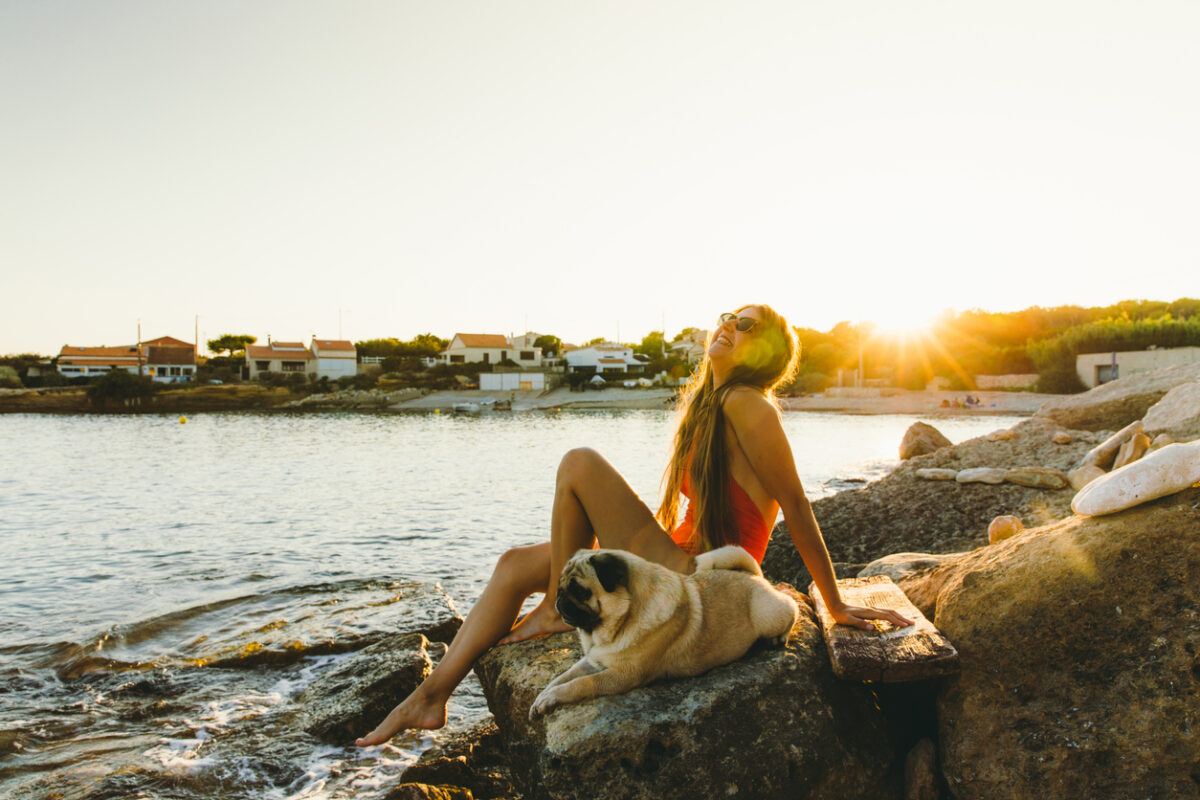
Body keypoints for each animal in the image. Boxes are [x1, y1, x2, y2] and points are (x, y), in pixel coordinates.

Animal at [532, 546, 796, 714]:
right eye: (560, 586)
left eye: (580, 591)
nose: (559, 599)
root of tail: (752, 574)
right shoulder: (593, 661)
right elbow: (565, 676)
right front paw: (543, 696)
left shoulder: (625, 675)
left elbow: (582, 684)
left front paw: (554, 696)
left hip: (769, 614)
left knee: (792, 605)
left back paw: (779, 636)